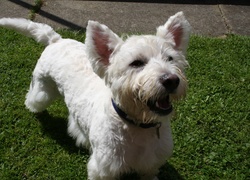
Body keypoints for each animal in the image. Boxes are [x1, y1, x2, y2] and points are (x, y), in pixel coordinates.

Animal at [0, 11, 190, 179]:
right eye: (136, 63)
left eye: (170, 59)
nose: (171, 80)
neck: (138, 126)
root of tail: (56, 40)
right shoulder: (104, 168)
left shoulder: (150, 164)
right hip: (43, 90)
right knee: (34, 98)